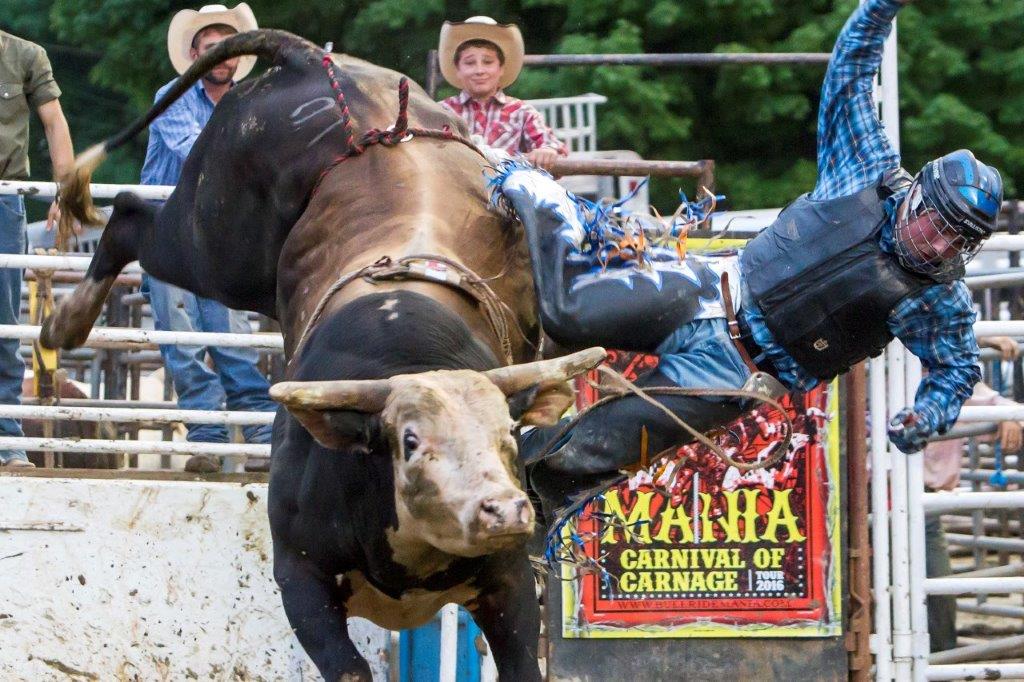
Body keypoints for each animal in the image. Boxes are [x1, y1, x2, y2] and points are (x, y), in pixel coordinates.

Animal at [46, 30, 606, 679]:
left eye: (508, 434)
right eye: (409, 441)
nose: (503, 510)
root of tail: (308, 57)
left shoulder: (509, 578)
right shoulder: (299, 576)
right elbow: (348, 666)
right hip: (217, 239)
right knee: (133, 216)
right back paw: (65, 321)